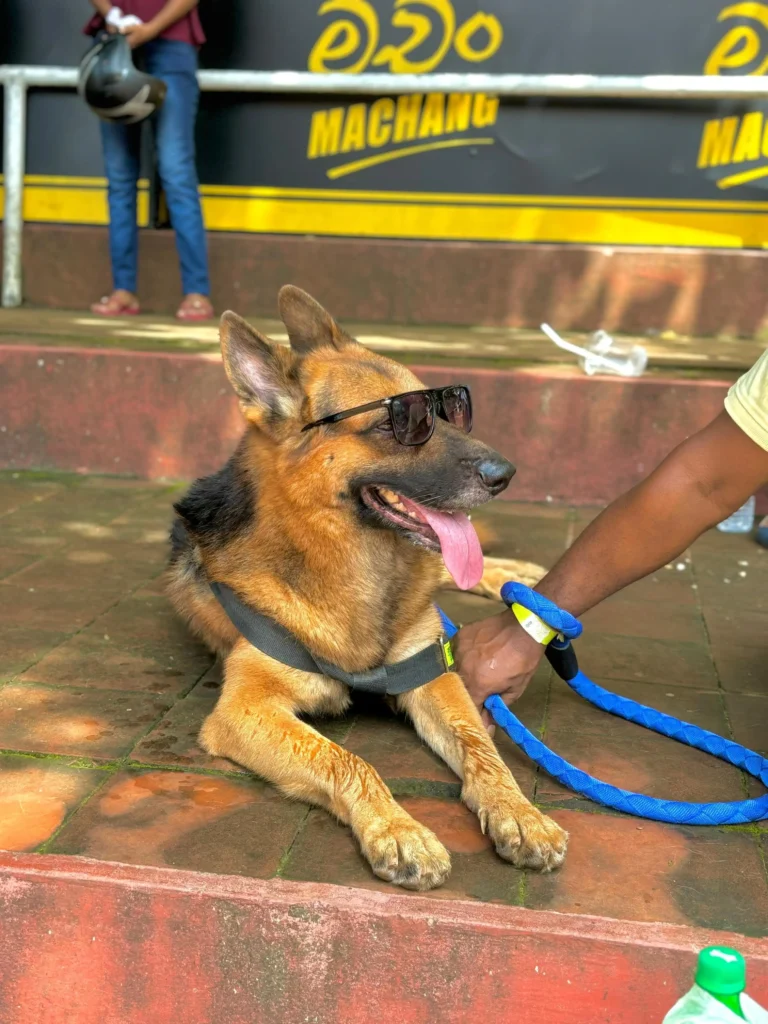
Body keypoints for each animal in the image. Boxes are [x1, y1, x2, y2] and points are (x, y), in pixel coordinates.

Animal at [167, 284, 565, 884]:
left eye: (451, 410)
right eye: (400, 424)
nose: (506, 474)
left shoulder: (433, 675)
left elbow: (482, 749)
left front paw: (519, 811)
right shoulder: (244, 708)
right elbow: (348, 759)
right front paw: (399, 830)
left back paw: (510, 575)